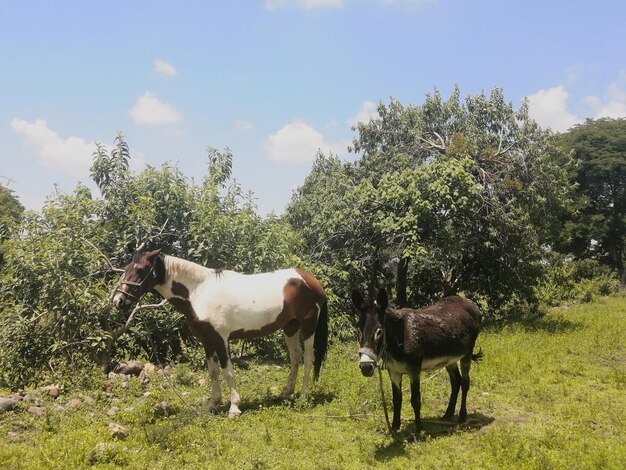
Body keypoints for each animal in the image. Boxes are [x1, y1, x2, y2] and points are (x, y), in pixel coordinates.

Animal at [112, 248, 326, 416]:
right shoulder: (207, 340)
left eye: (140, 270)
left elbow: (227, 372)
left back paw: (302, 396)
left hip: (308, 326)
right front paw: (213, 404)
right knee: (295, 357)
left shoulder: (221, 339)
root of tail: (310, 280)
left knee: (308, 359)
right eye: (126, 268)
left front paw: (234, 407)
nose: (118, 301)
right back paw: (287, 392)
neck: (199, 291)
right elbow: (213, 371)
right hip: (290, 327)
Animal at [352, 288, 478, 432]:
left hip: (467, 354)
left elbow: (415, 399)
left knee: (465, 382)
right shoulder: (394, 371)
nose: (365, 366)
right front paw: (395, 427)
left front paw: (419, 428)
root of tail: (469, 302)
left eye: (379, 332)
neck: (399, 337)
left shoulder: (414, 369)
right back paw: (448, 414)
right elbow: (397, 399)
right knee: (456, 381)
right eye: (358, 331)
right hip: (450, 358)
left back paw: (462, 416)